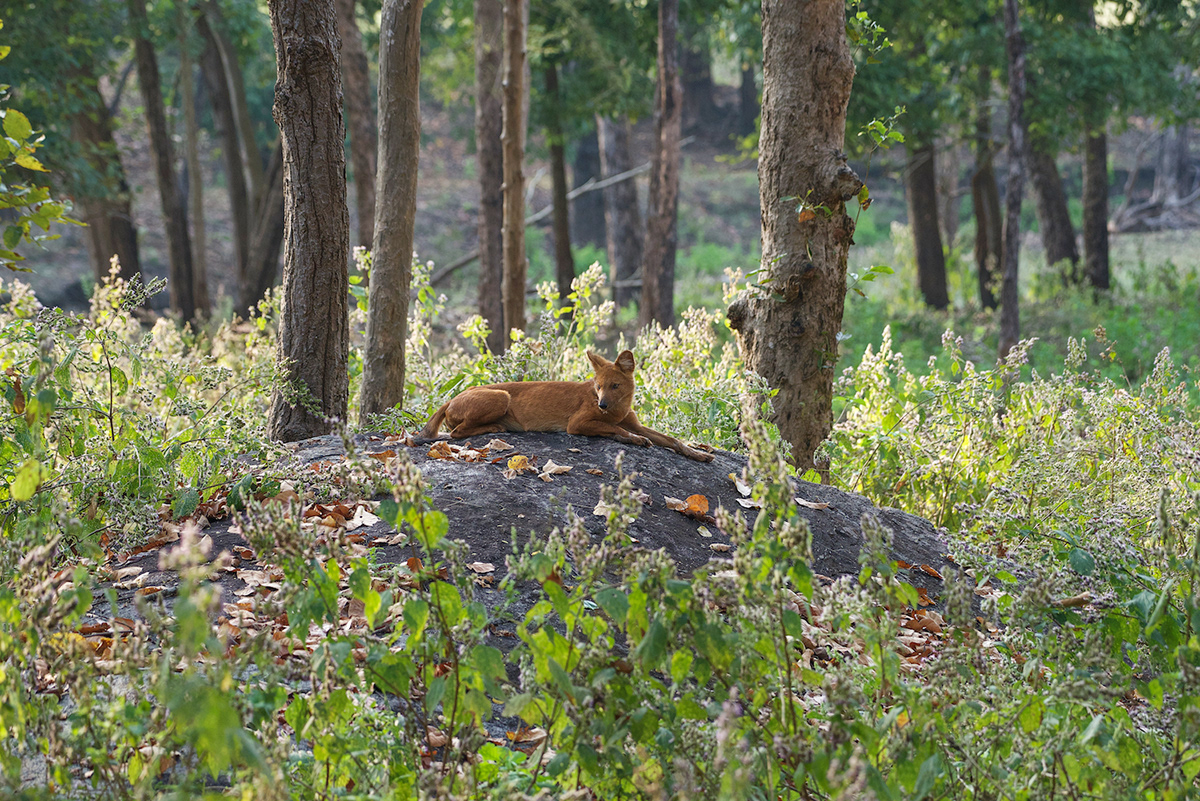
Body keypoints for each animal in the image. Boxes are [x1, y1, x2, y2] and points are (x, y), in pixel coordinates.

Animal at [412, 347, 710, 460]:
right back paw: (496, 427)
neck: (617, 409)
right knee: (455, 433)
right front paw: (632, 439)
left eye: (614, 386)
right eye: (598, 387)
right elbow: (616, 430)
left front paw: (699, 454)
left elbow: (672, 440)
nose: (602, 405)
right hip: (500, 396)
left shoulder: (634, 421)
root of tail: (450, 398)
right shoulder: (577, 424)